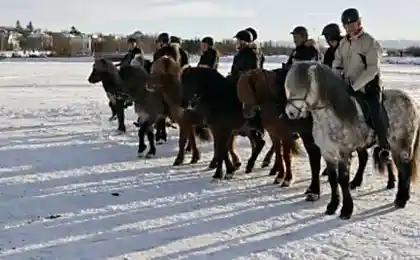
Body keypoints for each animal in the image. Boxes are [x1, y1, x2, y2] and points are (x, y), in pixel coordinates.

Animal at [238, 68, 396, 191]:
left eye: (247, 89)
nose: (246, 114)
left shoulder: (292, 136)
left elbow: (289, 157)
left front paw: (288, 179)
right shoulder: (278, 134)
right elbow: (280, 154)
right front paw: (280, 175)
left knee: (385, 155)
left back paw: (391, 181)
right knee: (365, 157)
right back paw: (356, 181)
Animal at [284, 60, 418, 219]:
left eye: (304, 86)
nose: (290, 113)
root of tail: (411, 101)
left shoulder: (344, 152)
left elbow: (343, 180)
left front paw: (346, 210)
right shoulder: (327, 152)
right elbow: (333, 179)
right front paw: (332, 206)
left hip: (402, 145)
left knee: (406, 168)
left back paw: (402, 199)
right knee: (397, 166)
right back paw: (396, 192)